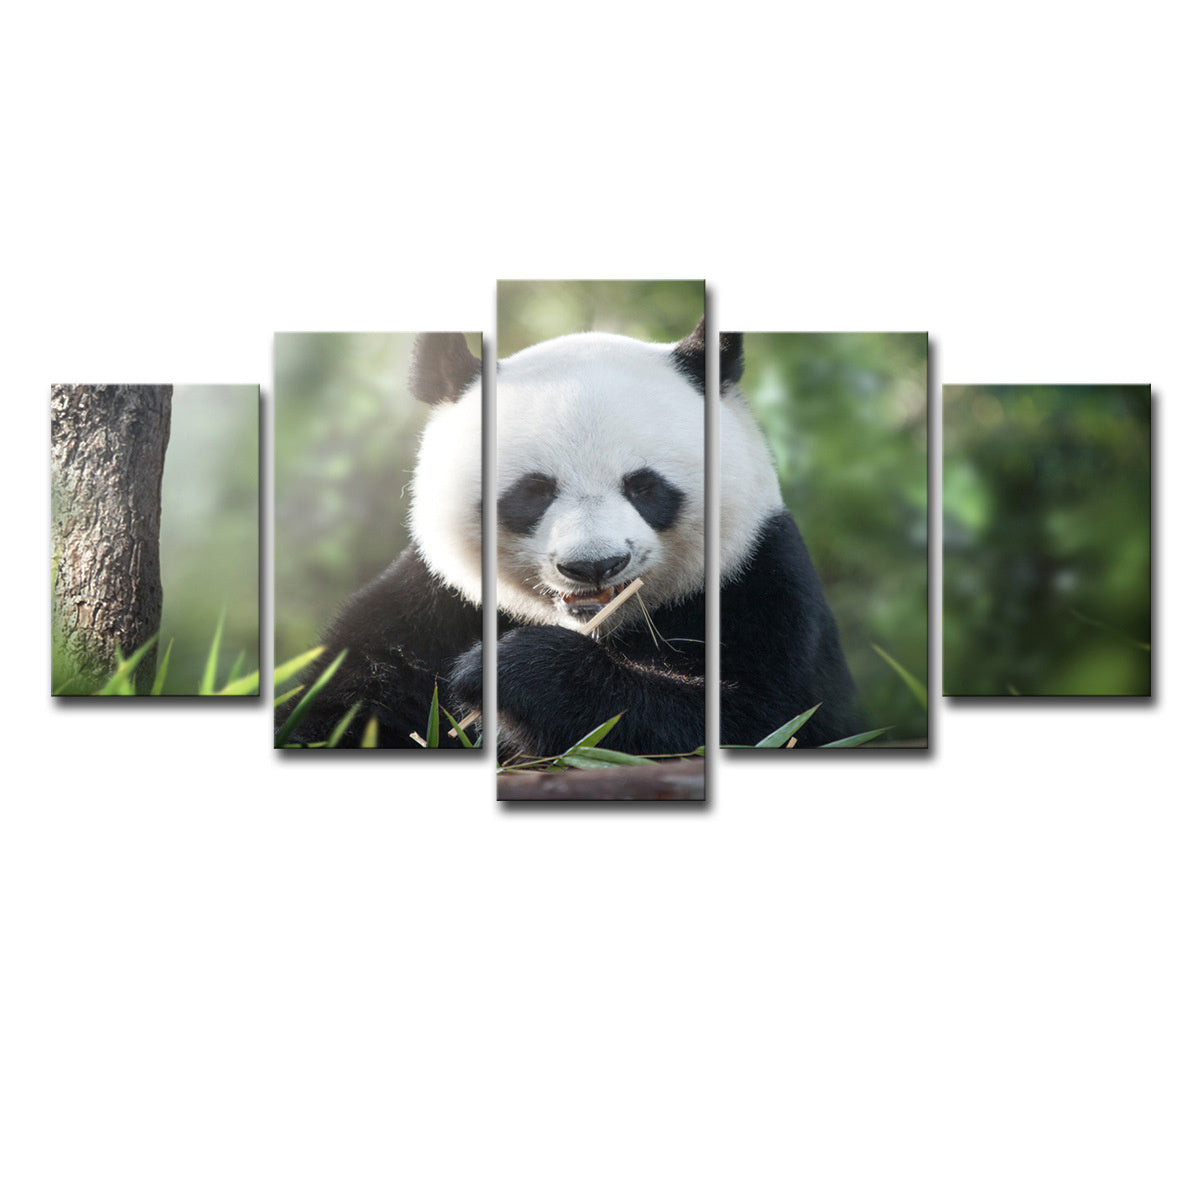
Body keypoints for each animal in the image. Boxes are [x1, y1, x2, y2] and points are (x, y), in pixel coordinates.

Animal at [278, 321, 859, 752]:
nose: (594, 565)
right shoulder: (431, 605)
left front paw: (512, 671)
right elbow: (338, 705)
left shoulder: (759, 584)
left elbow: (761, 719)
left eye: (644, 486)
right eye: (533, 492)